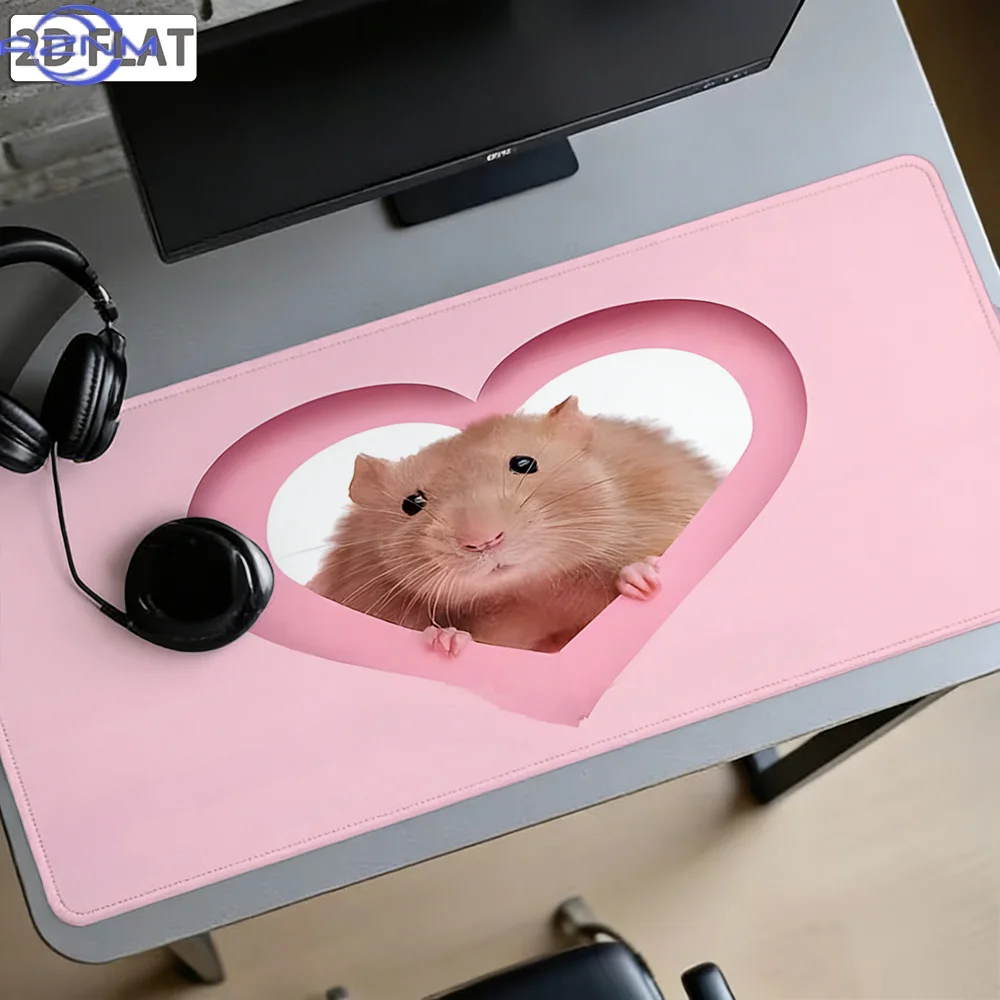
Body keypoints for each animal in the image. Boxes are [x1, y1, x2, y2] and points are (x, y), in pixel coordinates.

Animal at [307, 396, 721, 656]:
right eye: (412, 504)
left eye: (524, 463)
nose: (483, 541)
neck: (533, 590)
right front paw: (448, 640)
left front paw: (640, 575)